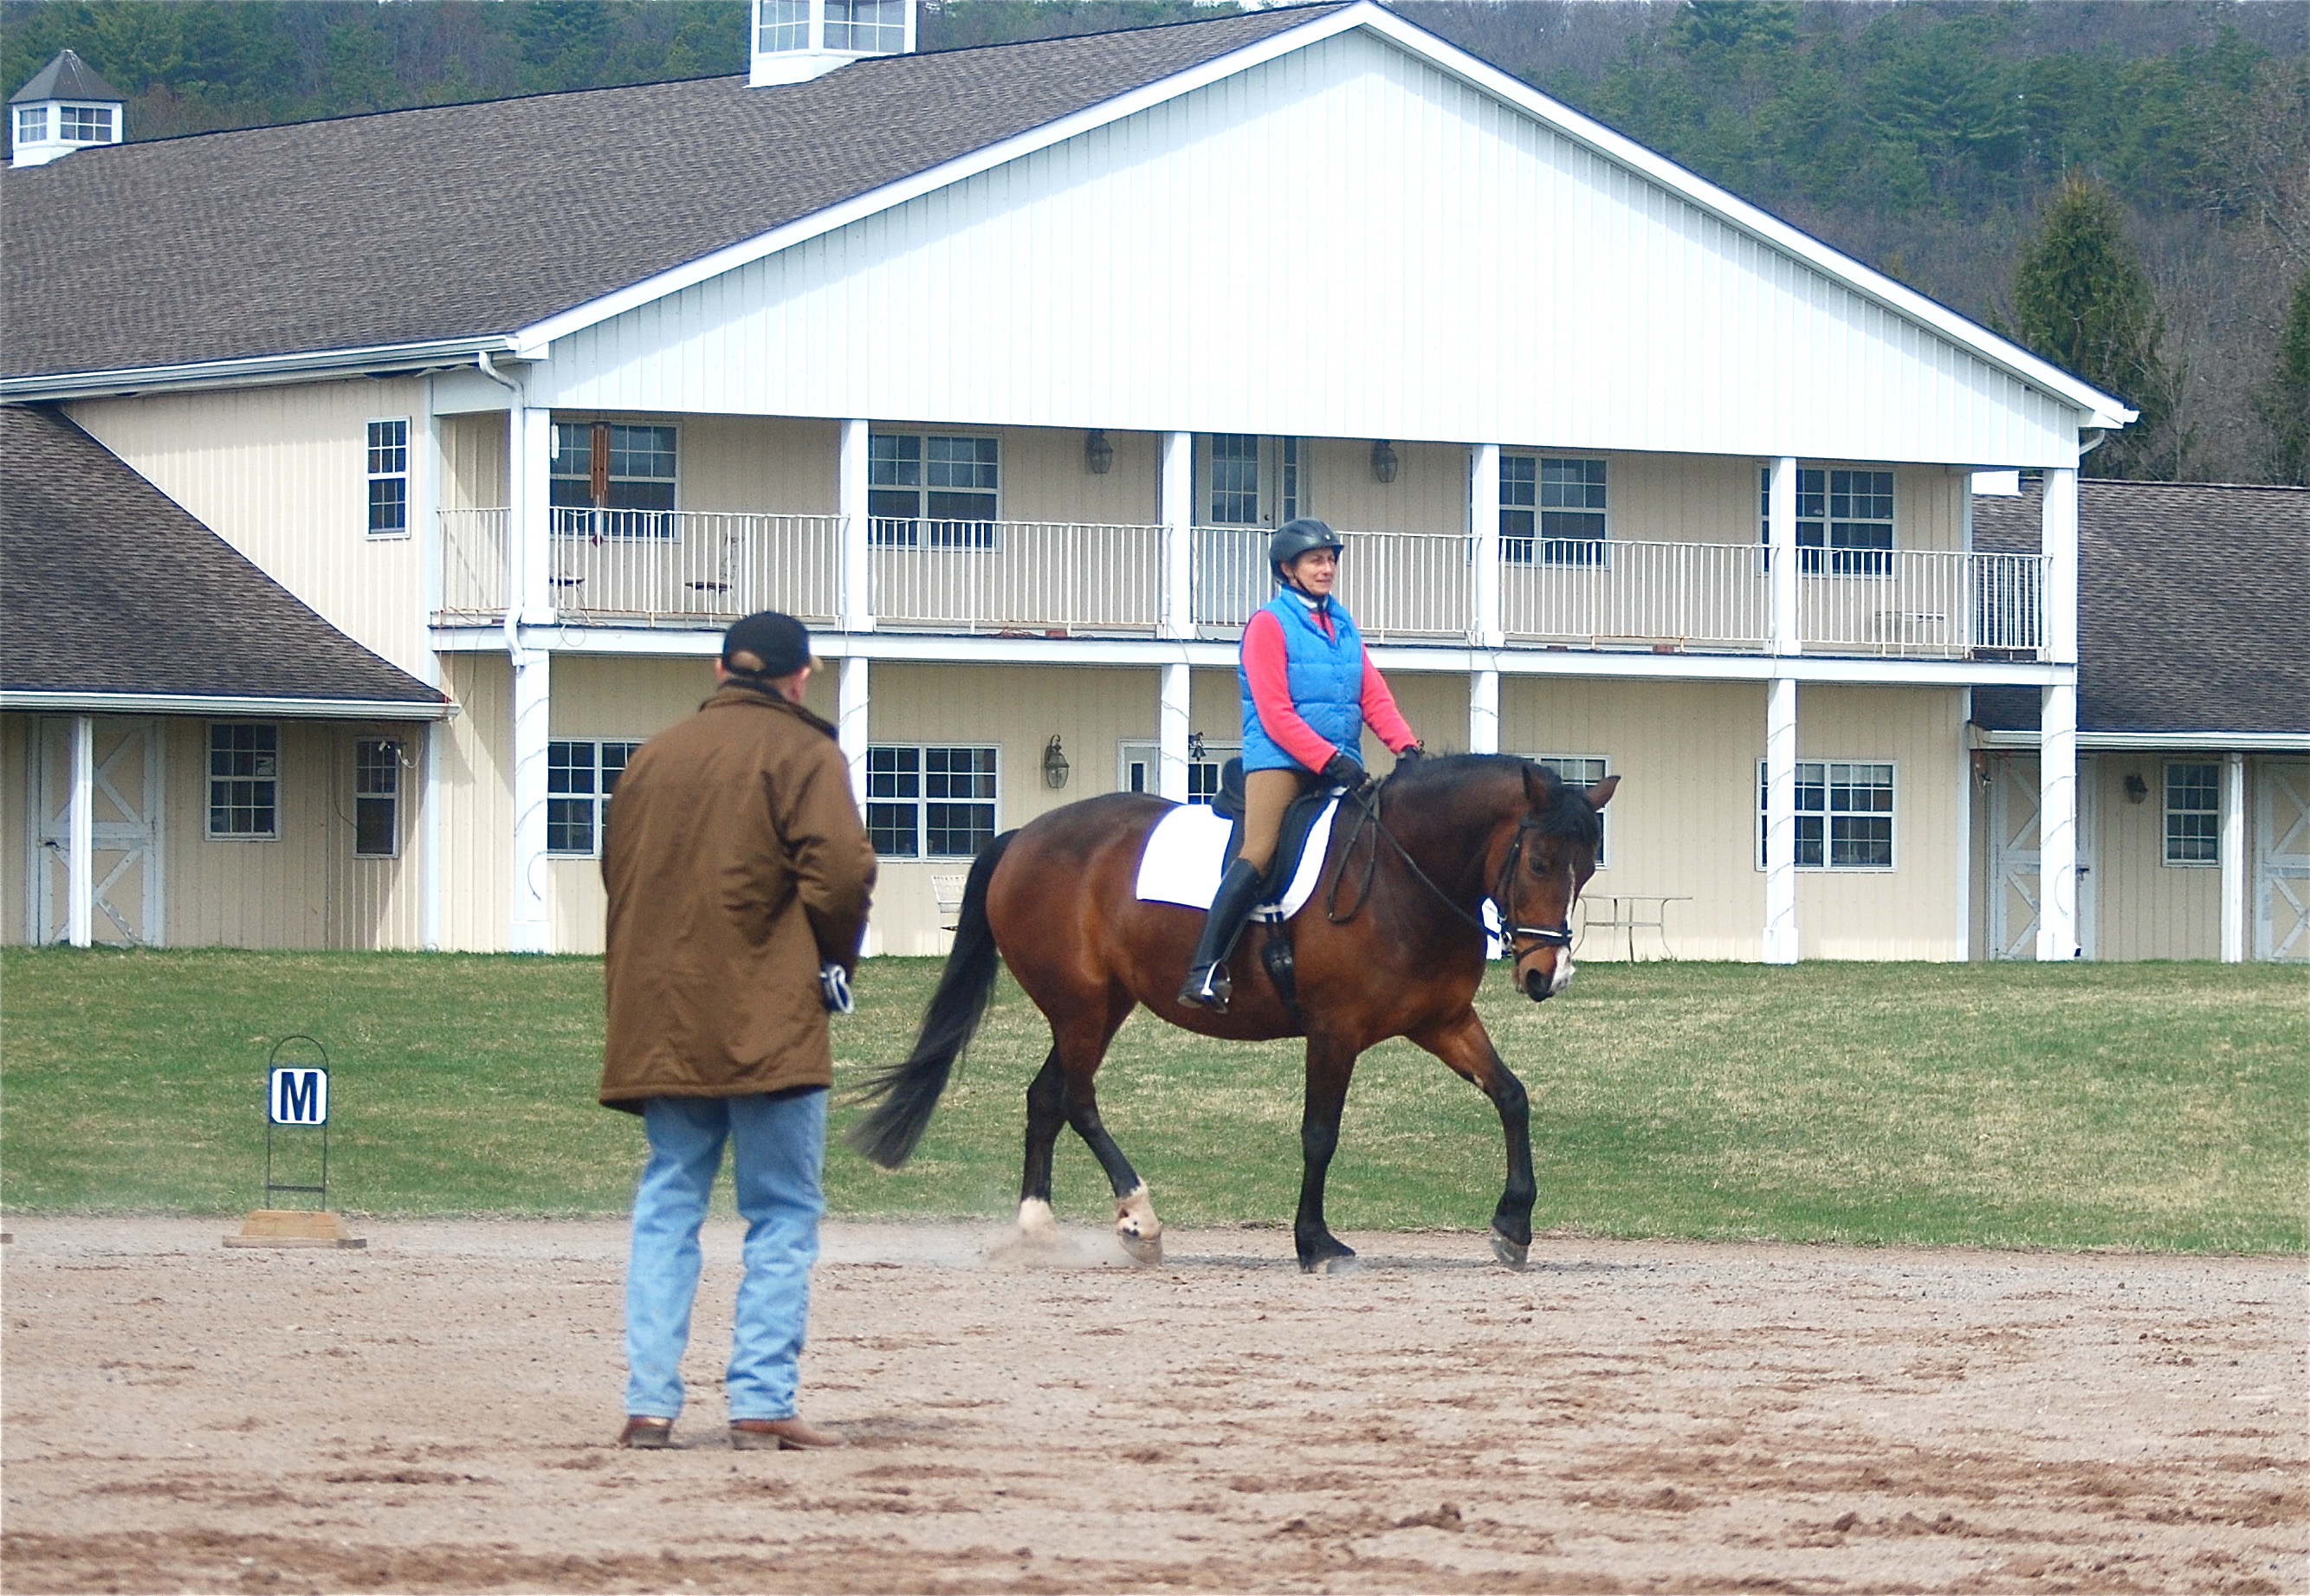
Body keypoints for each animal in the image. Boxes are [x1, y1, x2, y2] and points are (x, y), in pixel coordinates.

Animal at [850, 757, 1626, 1275]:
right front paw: (1314, 1242)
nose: (1545, 974)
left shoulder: (1442, 1020)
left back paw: (1037, 1228)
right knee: (1075, 1098)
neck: (1402, 875)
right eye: (1538, 861)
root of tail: (1024, 834)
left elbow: (1512, 1096)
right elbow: (1320, 1135)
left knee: (1046, 1097)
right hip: (1080, 1003)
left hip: (1101, 1004)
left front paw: (1513, 1223)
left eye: (1587, 868)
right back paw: (1139, 1219)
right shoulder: (1334, 1030)